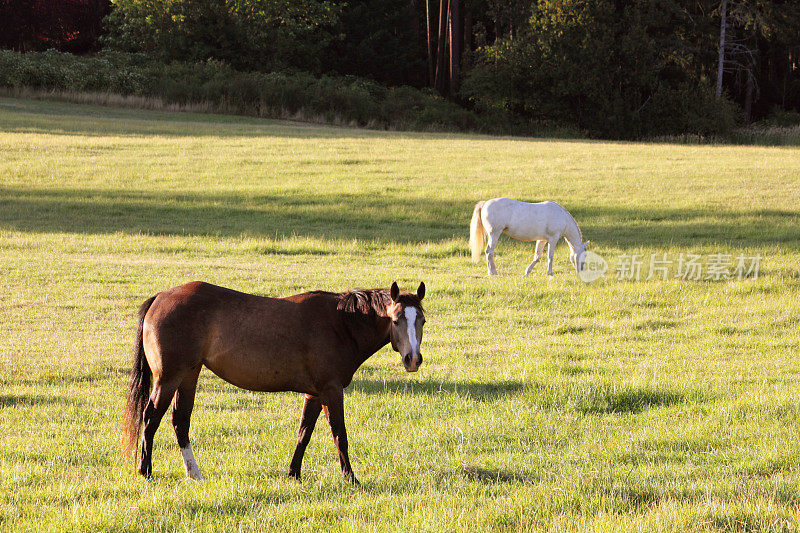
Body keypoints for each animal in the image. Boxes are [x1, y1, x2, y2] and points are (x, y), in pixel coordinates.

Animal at [120, 280, 424, 484]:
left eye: (421, 319)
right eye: (396, 320)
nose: (413, 359)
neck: (342, 323)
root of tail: (160, 297)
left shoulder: (314, 394)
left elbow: (304, 433)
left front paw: (293, 474)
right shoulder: (331, 390)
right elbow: (340, 434)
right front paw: (351, 478)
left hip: (188, 376)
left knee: (180, 420)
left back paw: (194, 474)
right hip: (168, 378)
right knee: (150, 418)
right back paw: (146, 471)